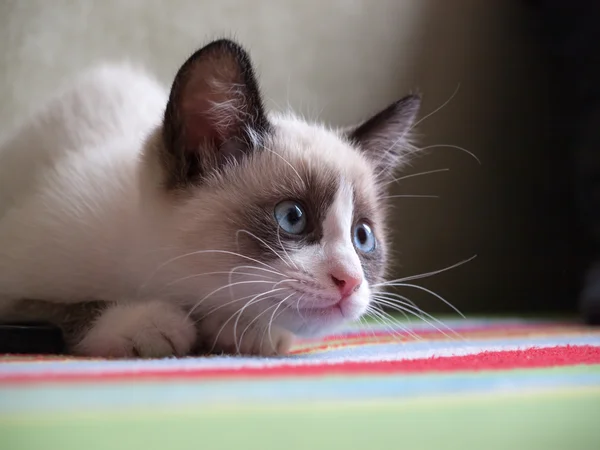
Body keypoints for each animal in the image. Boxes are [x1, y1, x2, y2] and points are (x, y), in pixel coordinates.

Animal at [0, 38, 422, 356]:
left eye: (362, 237)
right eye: (292, 217)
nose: (350, 281)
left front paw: (246, 328)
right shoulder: (16, 278)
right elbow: (54, 309)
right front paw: (148, 323)